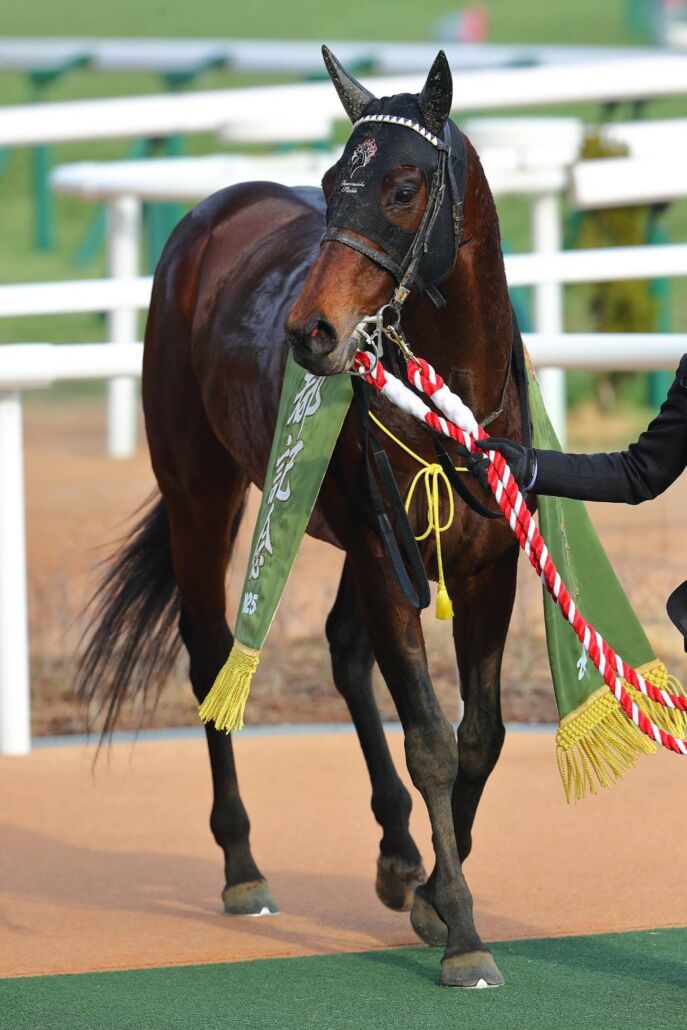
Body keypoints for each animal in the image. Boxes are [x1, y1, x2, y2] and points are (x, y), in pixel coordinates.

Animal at [77, 48, 527, 989]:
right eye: (327, 182)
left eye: (402, 187)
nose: (310, 331)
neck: (450, 401)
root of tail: (213, 211)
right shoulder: (389, 559)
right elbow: (429, 740)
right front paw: (462, 930)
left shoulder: (484, 566)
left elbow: (480, 734)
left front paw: (430, 892)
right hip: (200, 490)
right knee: (210, 653)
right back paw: (243, 867)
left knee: (344, 649)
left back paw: (397, 852)